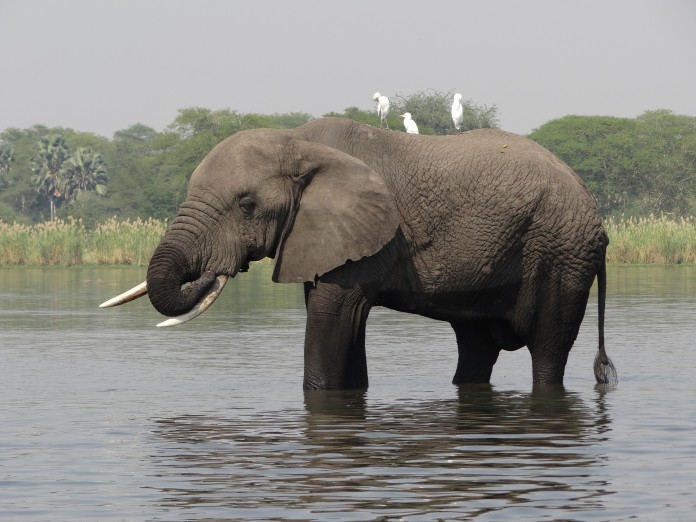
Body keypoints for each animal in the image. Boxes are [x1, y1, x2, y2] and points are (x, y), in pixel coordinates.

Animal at [102, 116, 616, 388]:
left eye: (246, 206)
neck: (298, 141)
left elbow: (333, 315)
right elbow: (340, 322)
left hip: (562, 252)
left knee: (547, 353)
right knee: (475, 348)